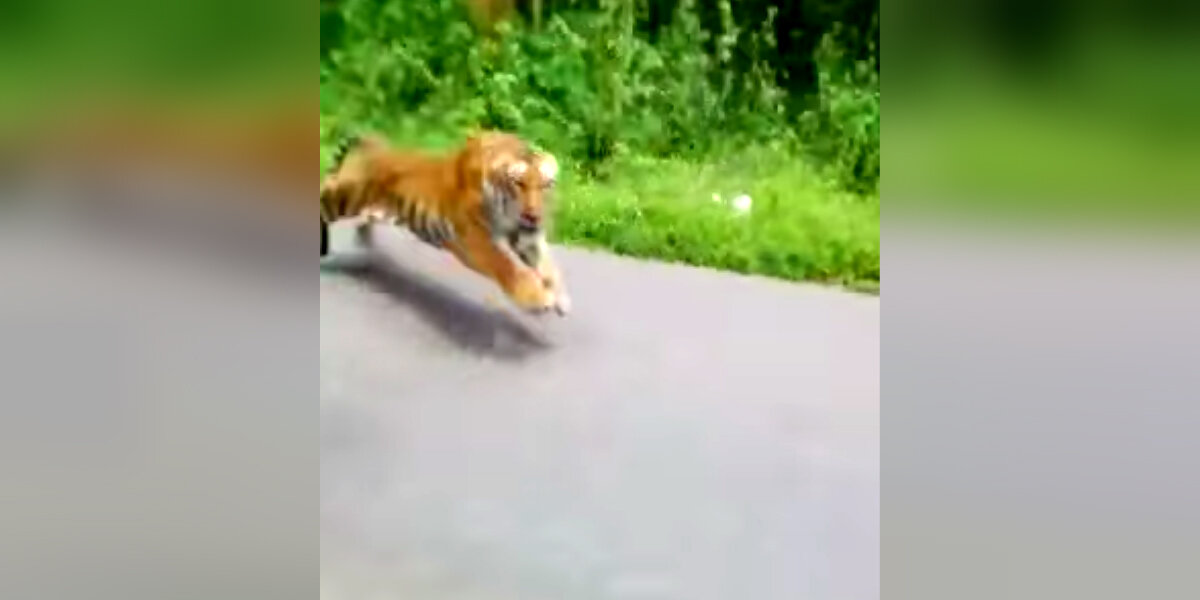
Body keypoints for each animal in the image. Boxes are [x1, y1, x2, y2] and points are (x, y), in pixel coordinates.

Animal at [319, 130, 571, 315]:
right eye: (518, 183)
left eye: (546, 185)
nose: (533, 216)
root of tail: (376, 145)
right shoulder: (475, 237)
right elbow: (507, 266)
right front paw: (537, 298)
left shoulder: (527, 236)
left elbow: (549, 267)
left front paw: (560, 299)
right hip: (346, 196)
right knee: (325, 195)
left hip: (380, 212)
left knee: (363, 222)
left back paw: (366, 247)